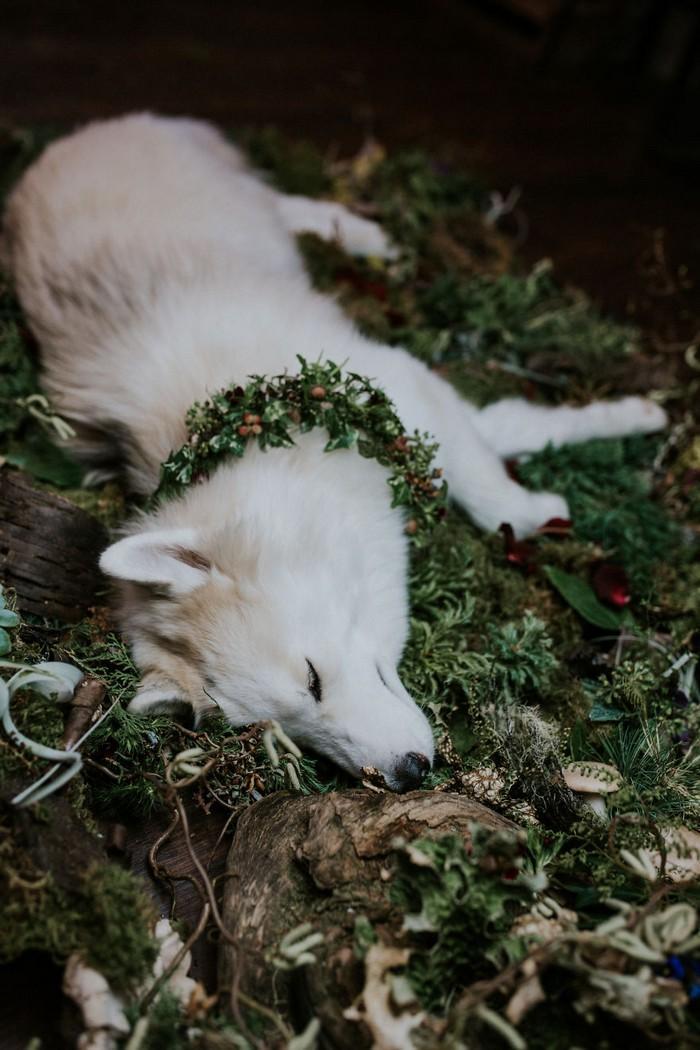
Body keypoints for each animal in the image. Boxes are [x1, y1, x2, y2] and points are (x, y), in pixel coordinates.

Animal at [1, 114, 667, 789]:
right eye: (286, 736)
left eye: (312, 676)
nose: (407, 774)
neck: (280, 446)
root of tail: (89, 131)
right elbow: (503, 431)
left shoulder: (406, 389)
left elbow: (493, 476)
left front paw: (601, 447)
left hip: (240, 193)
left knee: (288, 201)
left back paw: (367, 235)